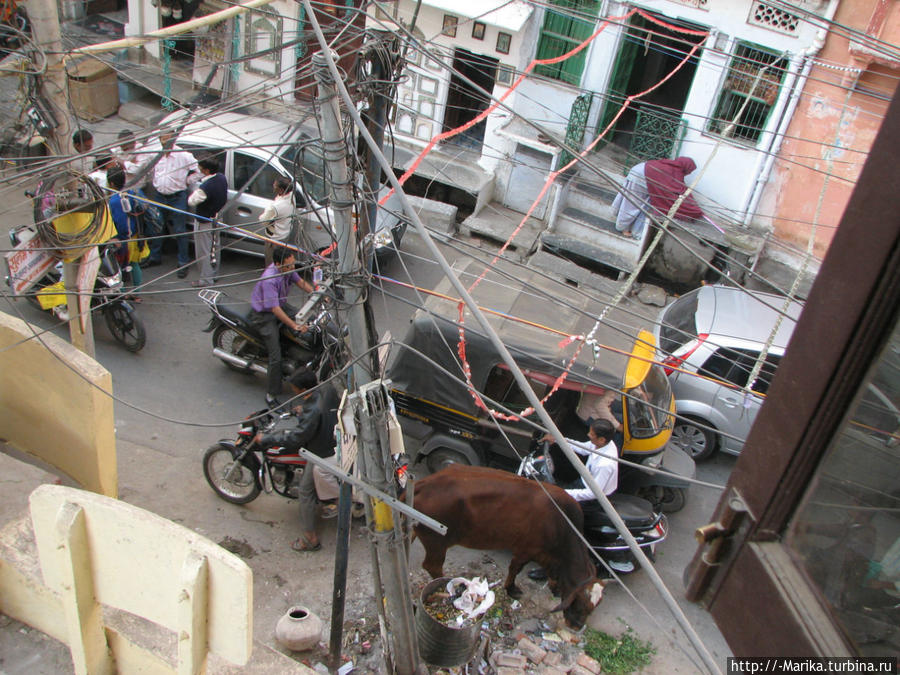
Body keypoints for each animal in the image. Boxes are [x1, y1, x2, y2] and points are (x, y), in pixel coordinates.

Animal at [408, 464, 604, 628]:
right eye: (580, 603)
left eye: (594, 607)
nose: (576, 626)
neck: (562, 526)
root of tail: (425, 483)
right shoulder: (525, 550)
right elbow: (515, 569)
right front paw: (511, 588)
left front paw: (554, 587)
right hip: (437, 542)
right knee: (432, 566)